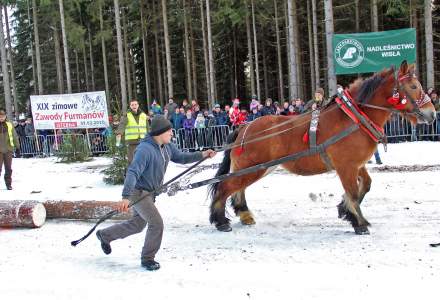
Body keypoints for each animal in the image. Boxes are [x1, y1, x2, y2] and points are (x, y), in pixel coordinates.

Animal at [210, 61, 436, 234]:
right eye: (413, 86)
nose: (432, 114)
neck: (354, 118)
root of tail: (244, 126)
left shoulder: (357, 164)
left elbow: (365, 186)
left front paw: (344, 210)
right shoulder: (346, 166)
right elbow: (353, 192)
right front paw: (359, 223)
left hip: (256, 168)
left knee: (238, 189)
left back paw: (244, 214)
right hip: (252, 167)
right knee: (225, 187)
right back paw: (220, 221)